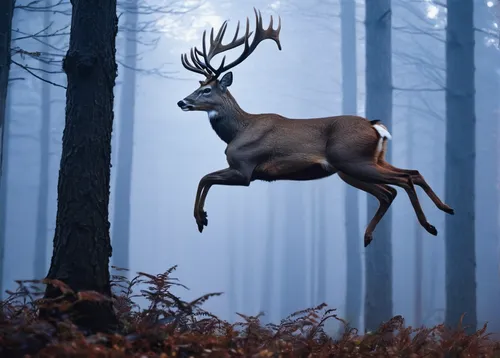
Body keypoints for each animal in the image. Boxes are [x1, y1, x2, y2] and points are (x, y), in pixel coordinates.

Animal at [178, 9, 456, 249]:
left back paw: (428, 224)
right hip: (361, 165)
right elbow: (205, 178)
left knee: (401, 182)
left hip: (353, 161)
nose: (182, 102)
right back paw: (437, 213)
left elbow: (204, 178)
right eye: (199, 86)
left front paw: (200, 218)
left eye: (207, 90)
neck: (236, 132)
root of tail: (375, 126)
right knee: (401, 182)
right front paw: (202, 217)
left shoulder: (246, 169)